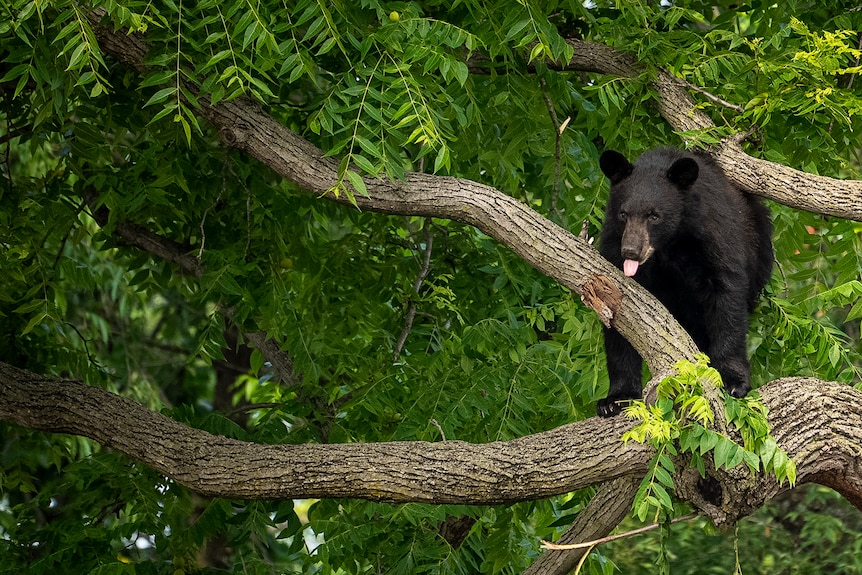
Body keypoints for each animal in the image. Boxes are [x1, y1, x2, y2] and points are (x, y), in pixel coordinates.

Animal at [596, 147, 772, 418]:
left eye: (654, 216)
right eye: (623, 214)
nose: (631, 252)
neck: (670, 245)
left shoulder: (712, 235)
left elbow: (727, 297)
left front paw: (733, 381)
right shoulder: (613, 245)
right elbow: (618, 316)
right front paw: (615, 399)